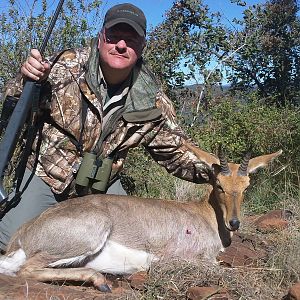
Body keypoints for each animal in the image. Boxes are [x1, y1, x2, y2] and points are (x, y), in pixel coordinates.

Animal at [0, 146, 282, 292]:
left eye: (246, 186)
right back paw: (101, 282)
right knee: (25, 270)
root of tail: (22, 235)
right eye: (219, 185)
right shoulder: (184, 260)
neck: (204, 215)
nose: (234, 223)